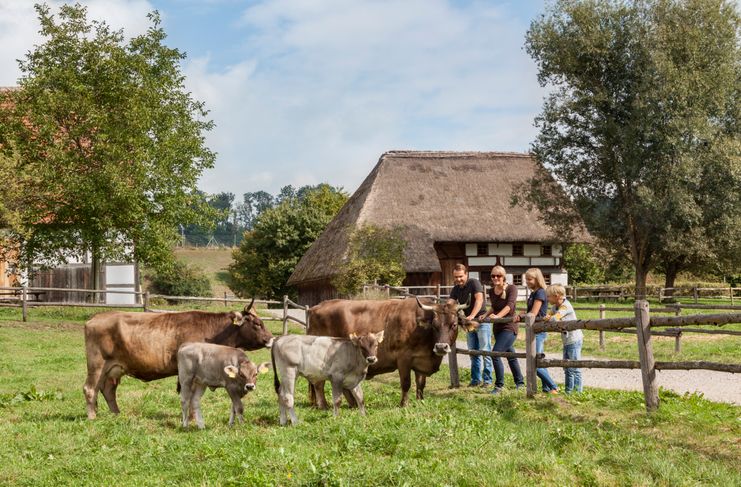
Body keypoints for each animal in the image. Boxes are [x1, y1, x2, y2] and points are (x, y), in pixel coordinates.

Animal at [83, 300, 274, 422]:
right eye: (257, 324)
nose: (271, 339)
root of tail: (95, 318)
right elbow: (189, 395)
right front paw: (191, 419)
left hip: (113, 369)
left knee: (108, 390)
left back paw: (116, 414)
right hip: (97, 365)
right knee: (90, 389)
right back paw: (92, 417)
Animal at [304, 298, 462, 408]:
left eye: (454, 324)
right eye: (435, 326)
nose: (441, 347)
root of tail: (316, 307)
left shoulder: (420, 360)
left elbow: (421, 383)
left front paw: (420, 401)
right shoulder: (404, 358)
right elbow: (406, 383)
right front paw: (404, 404)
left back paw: (352, 404)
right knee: (319, 383)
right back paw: (324, 406)